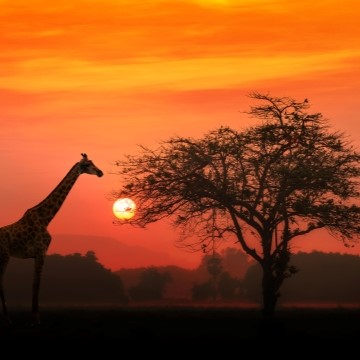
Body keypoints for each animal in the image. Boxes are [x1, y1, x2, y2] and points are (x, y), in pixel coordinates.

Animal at [0, 153, 104, 326]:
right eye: (88, 164)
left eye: (92, 162)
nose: (100, 173)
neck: (46, 219)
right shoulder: (41, 252)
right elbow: (36, 284)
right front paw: (36, 320)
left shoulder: (37, 255)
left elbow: (34, 284)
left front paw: (34, 318)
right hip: (5, 256)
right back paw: (7, 319)